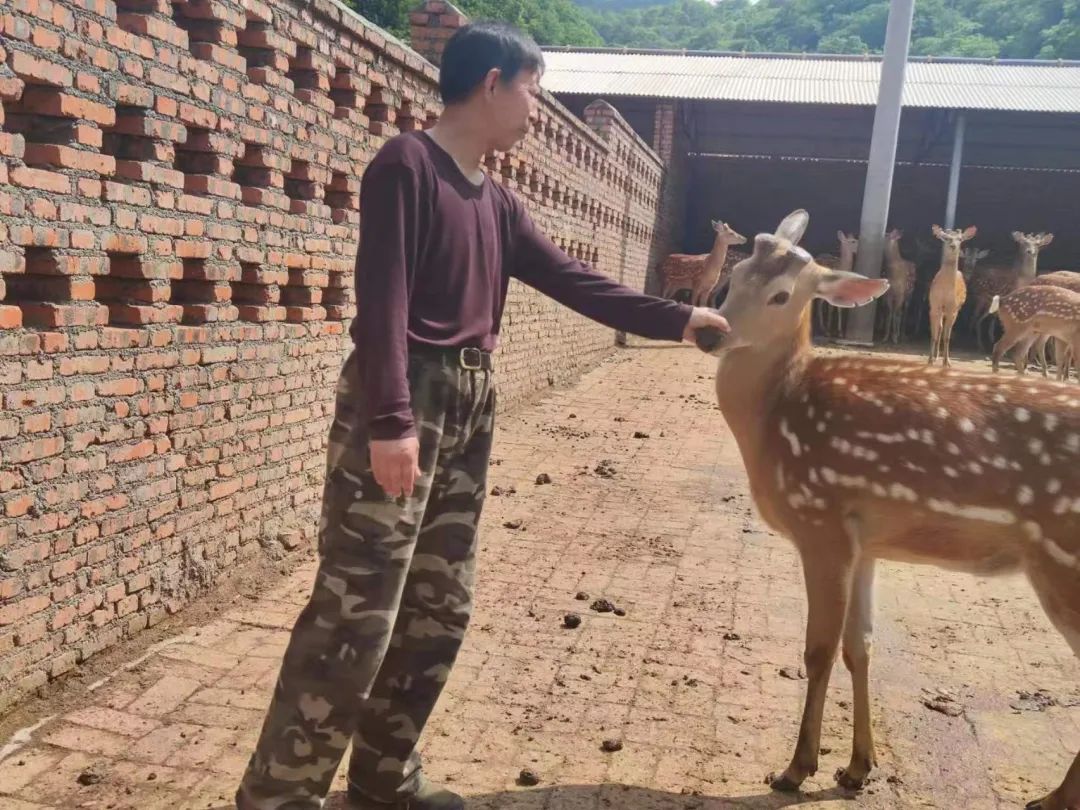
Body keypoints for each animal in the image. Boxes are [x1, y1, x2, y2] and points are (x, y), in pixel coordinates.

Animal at [924, 226, 976, 369]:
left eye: (960, 239)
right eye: (946, 238)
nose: (953, 246)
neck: (945, 291)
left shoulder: (953, 309)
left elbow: (947, 337)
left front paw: (947, 362)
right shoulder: (934, 306)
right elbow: (933, 334)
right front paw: (929, 360)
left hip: (954, 310)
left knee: (944, 331)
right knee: (940, 328)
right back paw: (935, 356)